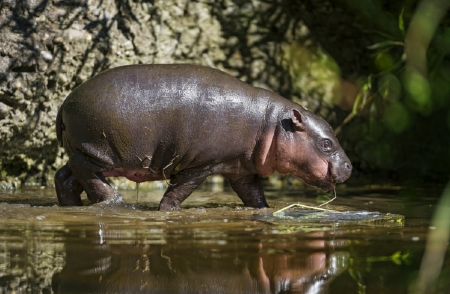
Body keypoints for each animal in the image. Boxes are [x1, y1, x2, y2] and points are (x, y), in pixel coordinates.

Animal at [55, 65, 352, 210]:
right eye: (326, 143)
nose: (350, 166)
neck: (272, 123)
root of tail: (65, 102)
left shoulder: (240, 169)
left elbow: (254, 195)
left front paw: (264, 210)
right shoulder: (201, 164)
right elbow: (178, 191)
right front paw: (167, 211)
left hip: (85, 149)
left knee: (65, 176)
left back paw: (71, 205)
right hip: (101, 152)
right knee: (84, 171)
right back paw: (113, 201)